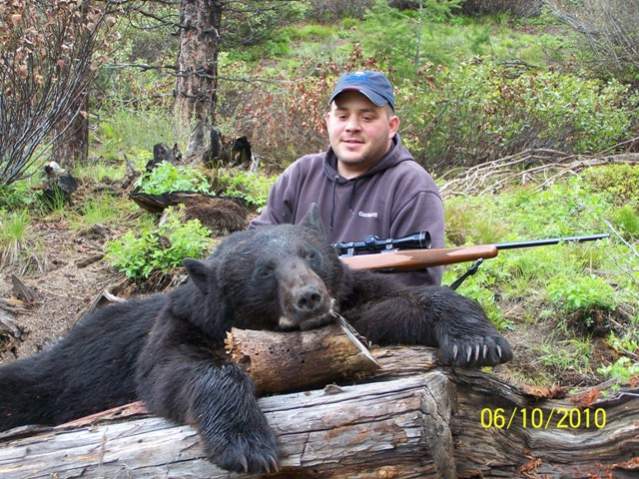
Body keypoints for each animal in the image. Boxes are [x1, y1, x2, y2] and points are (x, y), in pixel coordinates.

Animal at [0, 206, 512, 472]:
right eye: (265, 272)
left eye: (309, 254)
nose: (309, 297)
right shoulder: (183, 324)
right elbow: (178, 369)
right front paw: (247, 444)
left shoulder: (350, 299)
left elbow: (396, 303)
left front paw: (477, 340)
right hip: (60, 375)